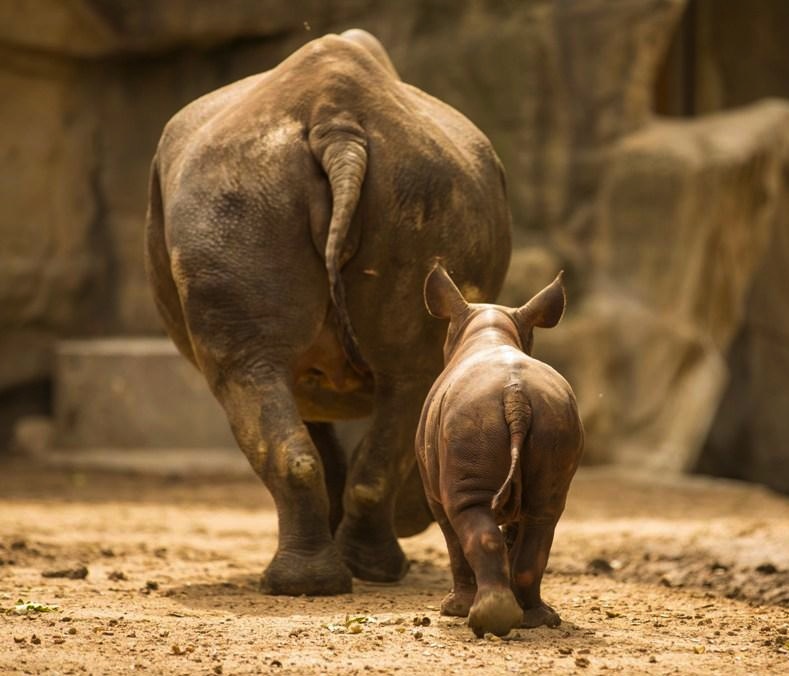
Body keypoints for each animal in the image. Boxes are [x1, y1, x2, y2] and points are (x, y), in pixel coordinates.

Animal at [144, 30, 511, 596]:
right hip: (264, 192)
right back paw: (338, 579)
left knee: (282, 373)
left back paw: (333, 579)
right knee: (387, 377)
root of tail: (334, 123)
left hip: (242, 192)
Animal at [415, 264, 584, 637]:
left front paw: (452, 610)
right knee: (544, 514)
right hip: (552, 417)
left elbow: (452, 539)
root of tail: (514, 394)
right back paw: (537, 619)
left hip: (471, 418)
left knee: (470, 513)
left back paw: (485, 619)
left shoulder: (434, 494)